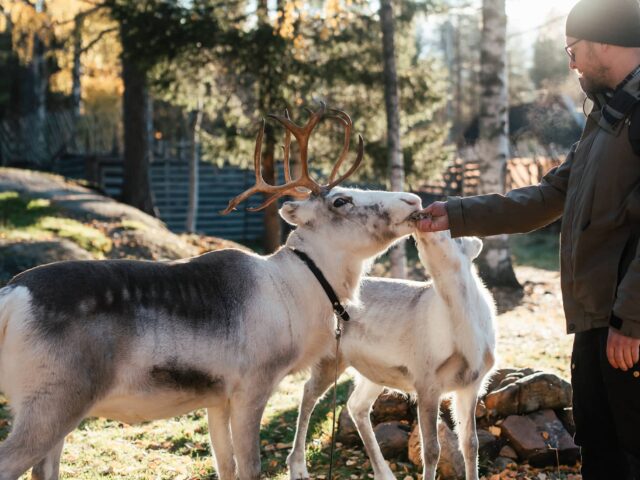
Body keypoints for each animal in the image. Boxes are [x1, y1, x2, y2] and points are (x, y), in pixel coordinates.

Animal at [0, 105, 423, 480]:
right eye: (341, 200)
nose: (414, 199)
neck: (296, 292)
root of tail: (11, 295)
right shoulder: (252, 387)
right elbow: (250, 468)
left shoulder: (216, 400)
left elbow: (226, 468)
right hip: (52, 402)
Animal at [287, 228, 497, 480]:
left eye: (457, 235)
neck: (469, 342)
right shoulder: (426, 379)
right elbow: (431, 450)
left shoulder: (472, 383)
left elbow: (471, 444)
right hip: (329, 357)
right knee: (309, 393)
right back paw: (297, 466)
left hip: (374, 371)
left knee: (356, 405)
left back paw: (384, 473)